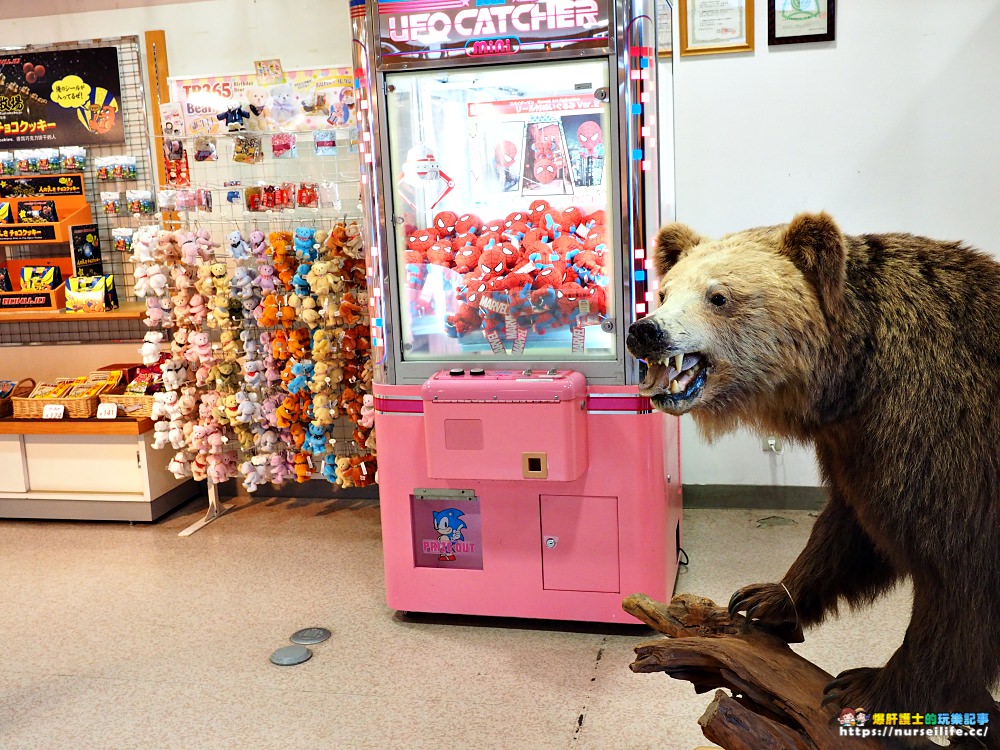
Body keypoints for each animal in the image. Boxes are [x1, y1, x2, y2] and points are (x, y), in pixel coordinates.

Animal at [624, 213, 1000, 748]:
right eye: (664, 291)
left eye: (718, 296)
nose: (645, 331)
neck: (855, 377)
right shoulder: (861, 450)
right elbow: (848, 530)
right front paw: (764, 598)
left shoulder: (949, 444)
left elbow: (959, 584)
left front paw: (867, 686)